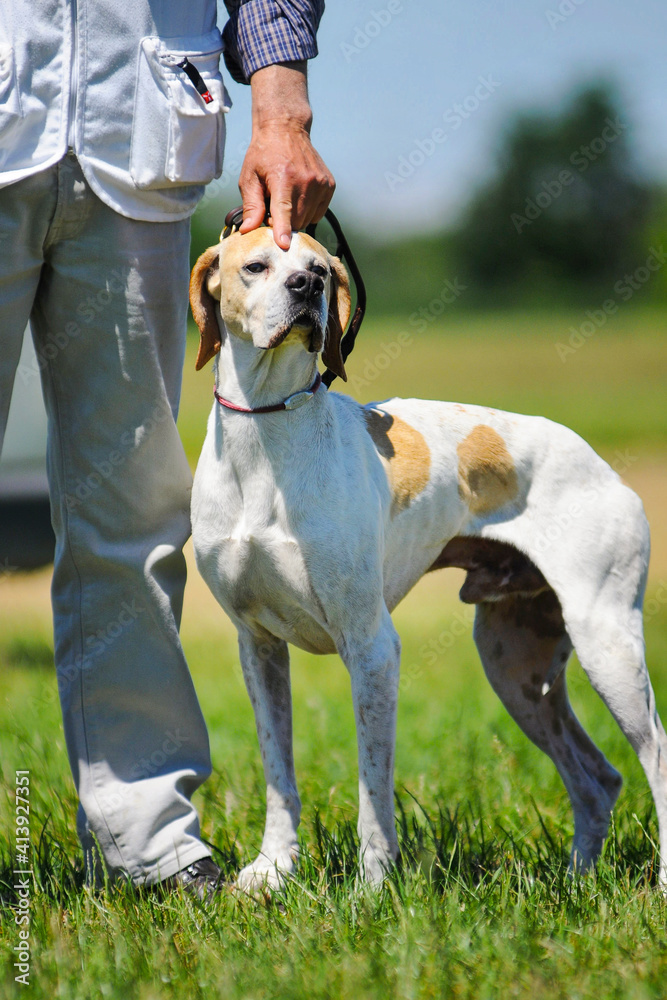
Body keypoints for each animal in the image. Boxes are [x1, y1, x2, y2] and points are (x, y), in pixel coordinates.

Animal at [188, 227, 667, 892]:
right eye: (255, 266)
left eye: (320, 269)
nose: (306, 288)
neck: (266, 434)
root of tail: (606, 467)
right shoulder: (257, 646)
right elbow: (278, 771)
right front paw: (273, 870)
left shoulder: (371, 647)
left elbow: (373, 787)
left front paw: (372, 889)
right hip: (516, 666)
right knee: (599, 779)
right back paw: (576, 882)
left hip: (608, 646)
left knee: (655, 760)